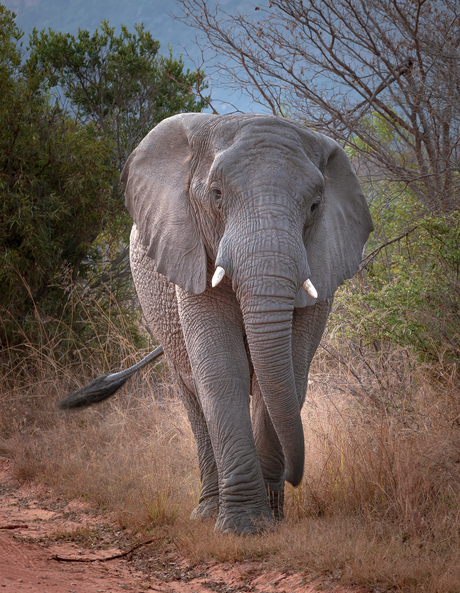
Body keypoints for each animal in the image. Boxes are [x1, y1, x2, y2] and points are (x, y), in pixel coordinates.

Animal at [60, 111, 374, 532]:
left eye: (315, 205)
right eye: (216, 194)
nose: (295, 477)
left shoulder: (323, 263)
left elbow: (289, 373)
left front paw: (269, 521)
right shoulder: (190, 253)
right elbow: (222, 370)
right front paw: (244, 529)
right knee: (192, 391)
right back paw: (207, 511)